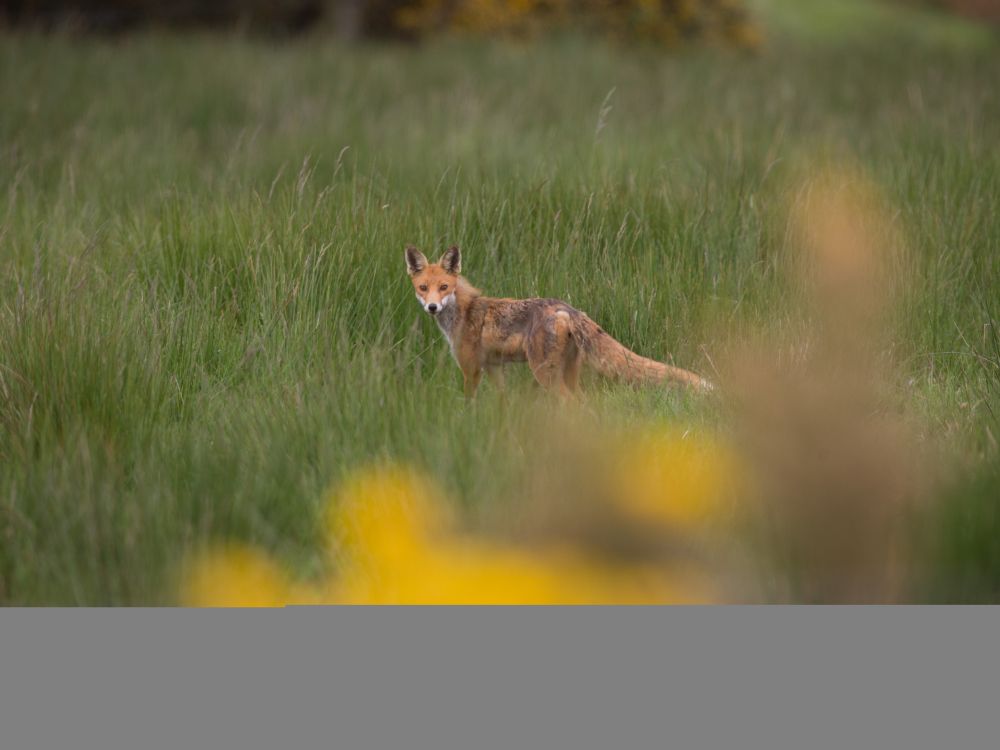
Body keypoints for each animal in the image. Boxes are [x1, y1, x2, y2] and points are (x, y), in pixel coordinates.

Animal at [406, 245, 712, 400]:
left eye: (444, 287)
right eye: (423, 288)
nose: (432, 307)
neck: (464, 312)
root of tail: (567, 308)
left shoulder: (471, 369)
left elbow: (468, 403)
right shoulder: (493, 368)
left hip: (545, 374)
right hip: (569, 374)